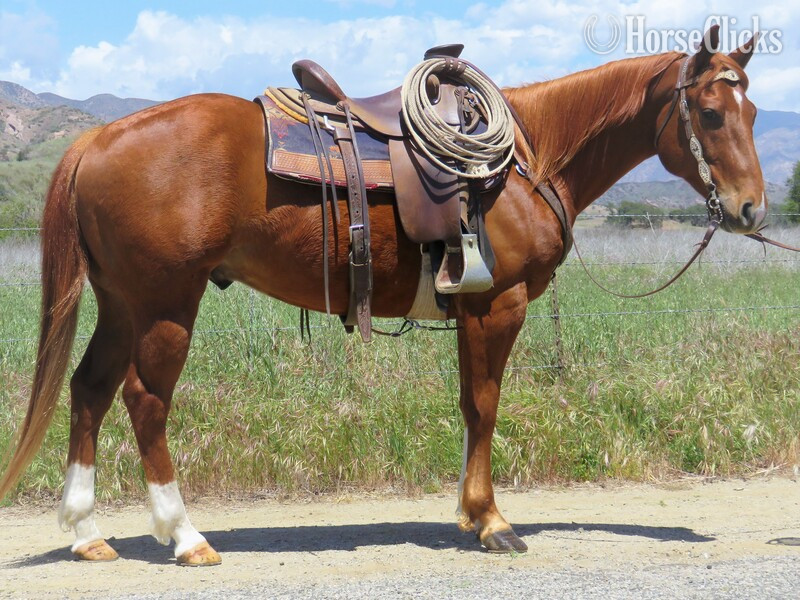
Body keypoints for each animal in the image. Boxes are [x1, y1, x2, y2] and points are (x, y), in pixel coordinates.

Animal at [0, 29, 765, 565]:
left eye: (754, 109)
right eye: (709, 112)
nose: (751, 208)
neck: (529, 156)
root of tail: (99, 136)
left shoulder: (472, 309)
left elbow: (469, 408)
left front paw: (469, 513)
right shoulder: (500, 304)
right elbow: (485, 406)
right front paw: (493, 522)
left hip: (121, 304)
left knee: (89, 390)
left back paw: (87, 532)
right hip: (165, 303)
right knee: (144, 400)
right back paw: (185, 535)